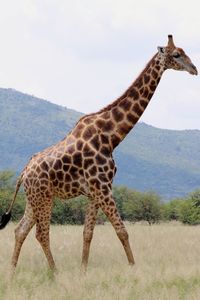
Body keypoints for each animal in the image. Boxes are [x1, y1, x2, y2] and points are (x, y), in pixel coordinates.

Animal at [0, 34, 197, 272]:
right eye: (176, 54)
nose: (194, 69)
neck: (112, 136)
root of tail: (23, 174)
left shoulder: (95, 191)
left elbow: (88, 233)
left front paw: (84, 270)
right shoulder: (103, 187)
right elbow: (122, 231)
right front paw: (134, 269)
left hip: (33, 198)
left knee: (20, 230)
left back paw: (12, 272)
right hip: (43, 197)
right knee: (41, 233)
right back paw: (54, 273)